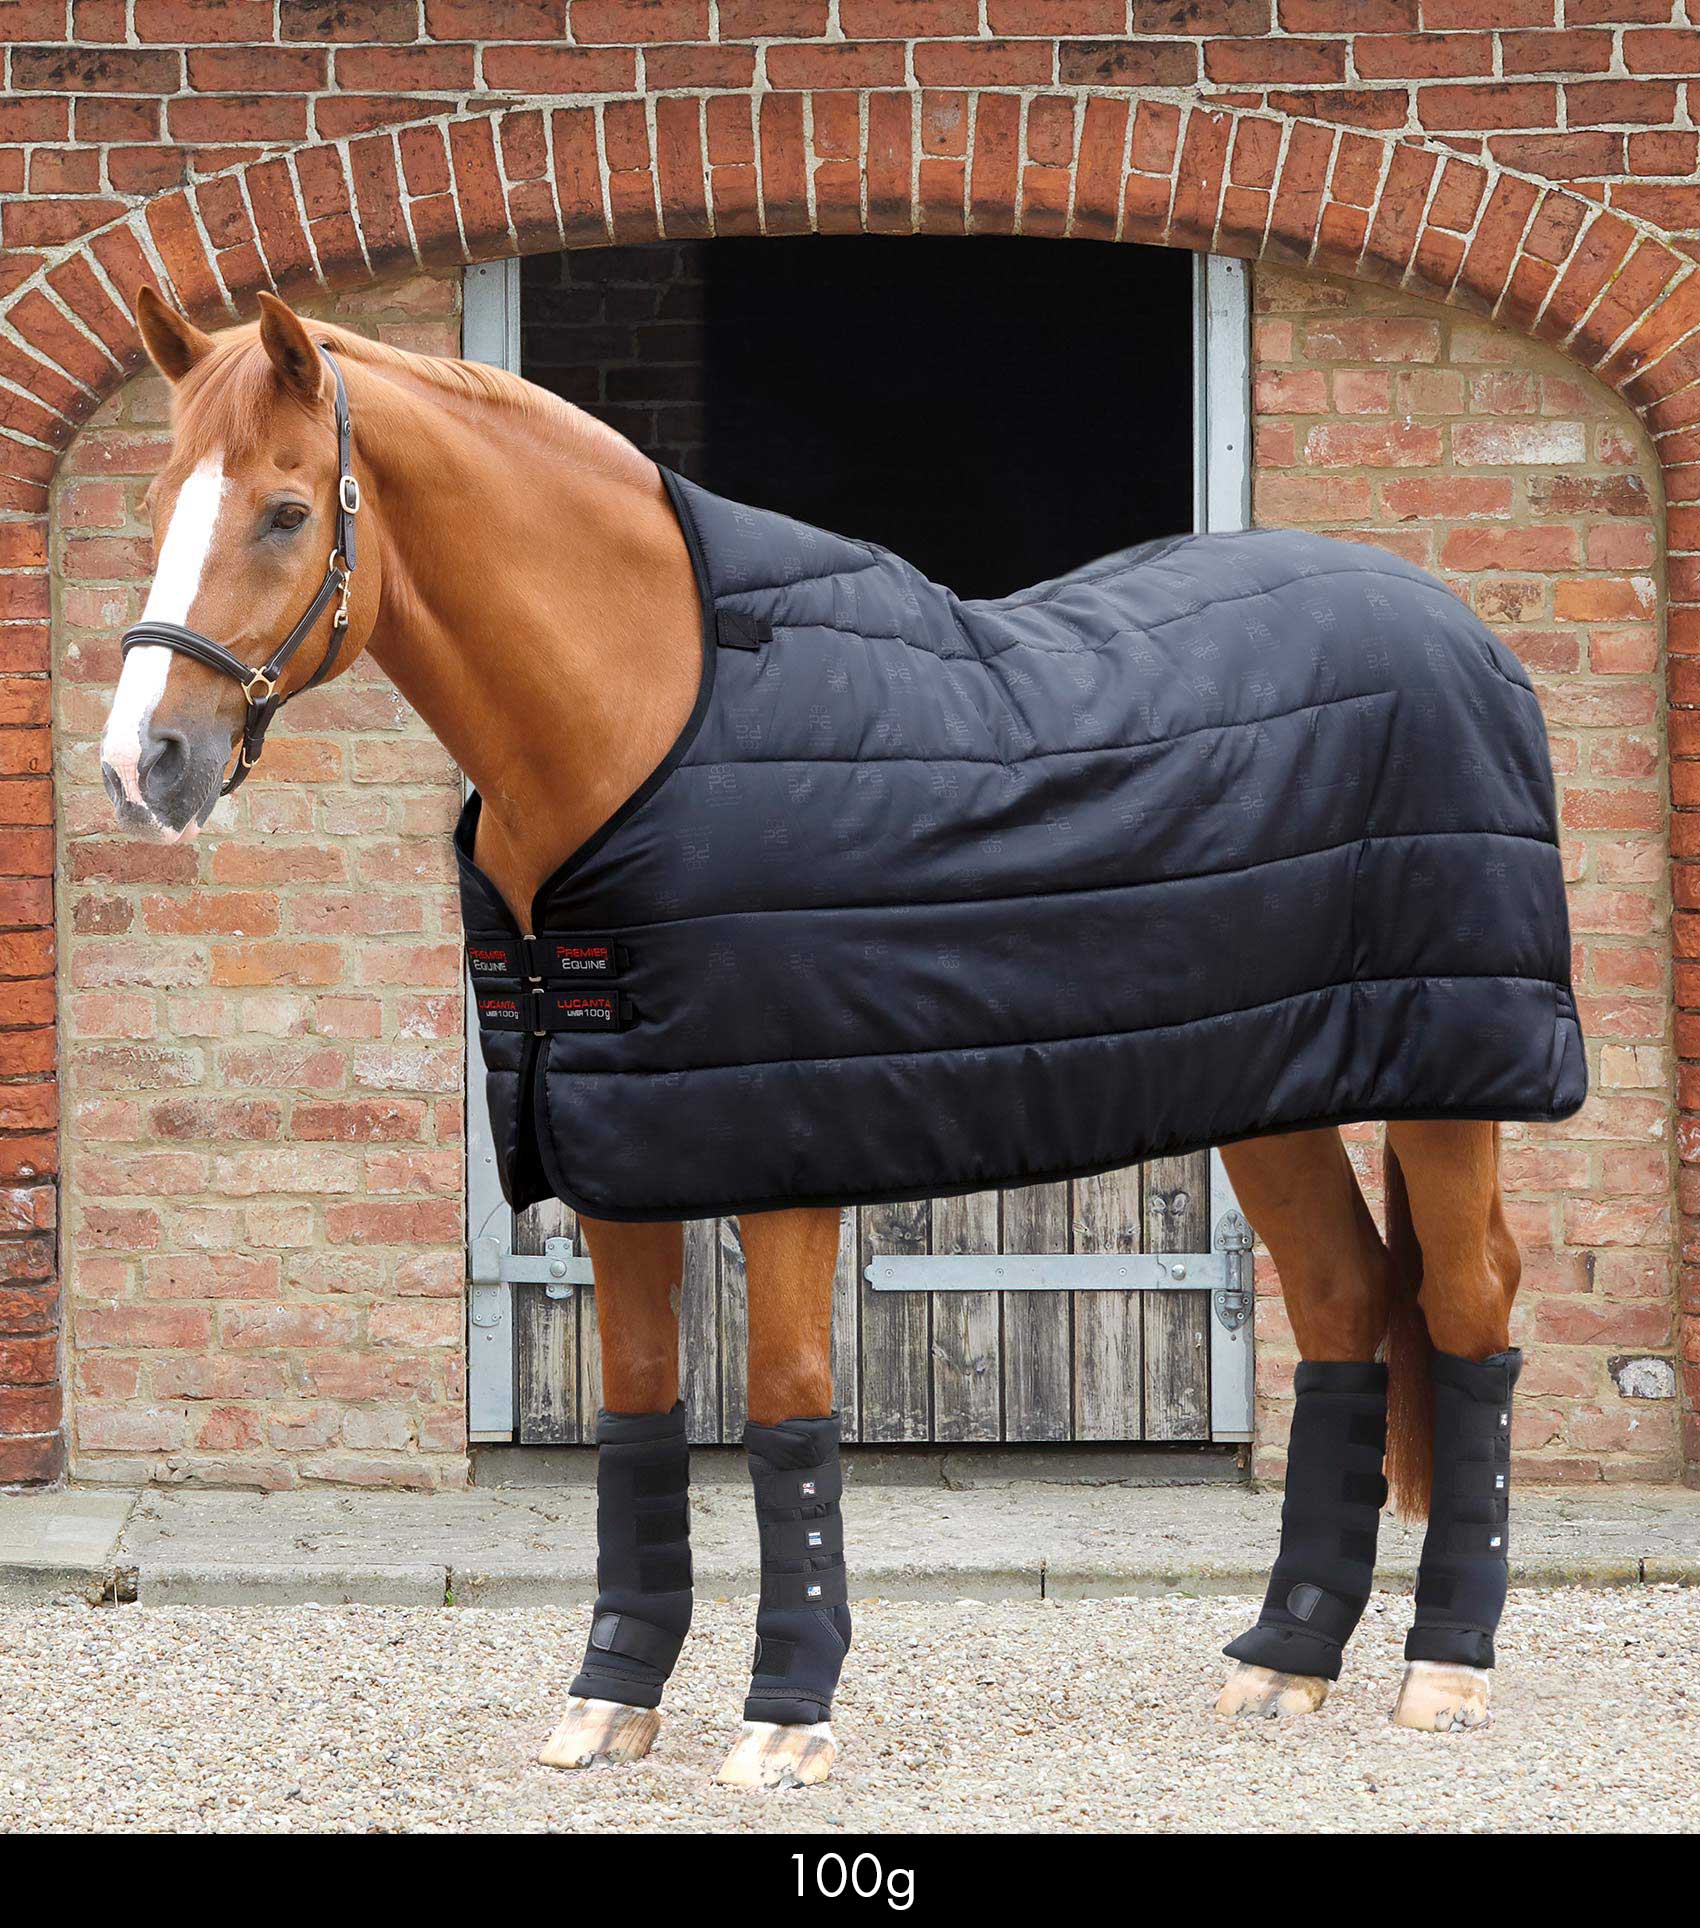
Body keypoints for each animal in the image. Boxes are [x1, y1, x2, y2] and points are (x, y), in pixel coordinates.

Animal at [98, 287, 1547, 1787]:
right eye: (156, 499)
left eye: (282, 511)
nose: (142, 765)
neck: (638, 724)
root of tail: (1454, 624)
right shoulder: (619, 1144)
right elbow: (636, 1409)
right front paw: (610, 1694)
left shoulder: (782, 1154)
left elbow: (786, 1406)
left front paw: (785, 1715)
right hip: (1268, 1085)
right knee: (1339, 1303)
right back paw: (1285, 1662)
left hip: (1452, 1083)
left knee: (1470, 1307)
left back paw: (1445, 1668)